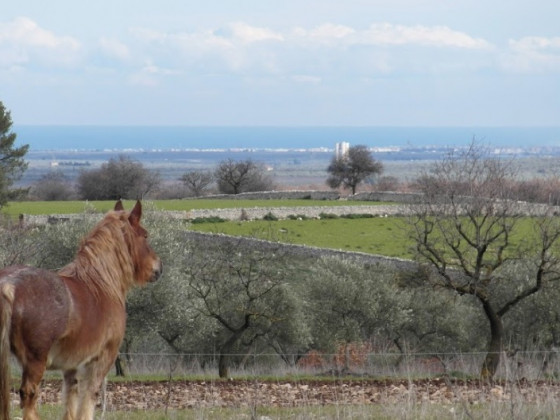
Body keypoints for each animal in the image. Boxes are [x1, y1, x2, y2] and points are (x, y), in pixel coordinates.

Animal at [0, 200, 162, 420]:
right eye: (145, 235)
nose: (158, 268)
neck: (100, 283)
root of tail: (9, 284)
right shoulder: (101, 361)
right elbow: (88, 400)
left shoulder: (72, 367)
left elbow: (70, 400)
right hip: (35, 363)